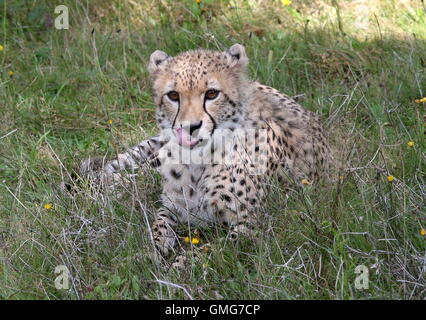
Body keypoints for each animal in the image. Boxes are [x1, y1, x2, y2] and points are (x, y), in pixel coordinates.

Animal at [78, 43, 334, 258]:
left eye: (212, 93)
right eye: (173, 95)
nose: (190, 127)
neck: (198, 161)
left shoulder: (250, 224)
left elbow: (207, 253)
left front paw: (177, 267)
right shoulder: (173, 206)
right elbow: (158, 224)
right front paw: (151, 252)